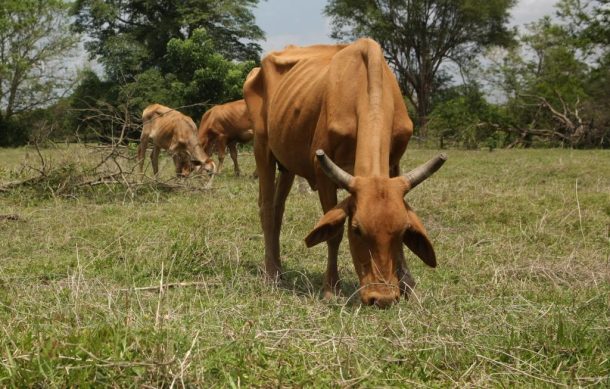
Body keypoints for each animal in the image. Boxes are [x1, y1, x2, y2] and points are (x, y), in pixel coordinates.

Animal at [243, 38, 446, 306]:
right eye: (357, 230)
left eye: (402, 231)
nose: (381, 298)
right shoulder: (323, 173)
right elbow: (334, 232)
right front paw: (332, 287)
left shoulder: (394, 166)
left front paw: (408, 286)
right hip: (262, 146)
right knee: (266, 209)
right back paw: (271, 274)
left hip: (287, 163)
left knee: (278, 210)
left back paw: (278, 269)